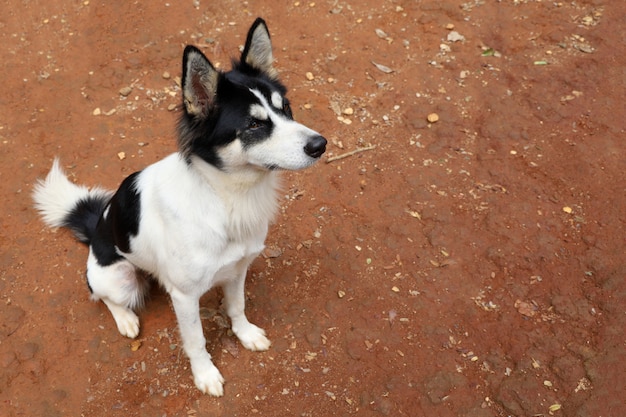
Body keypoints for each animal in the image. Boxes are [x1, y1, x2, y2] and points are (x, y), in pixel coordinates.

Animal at [33, 18, 326, 396]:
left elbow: (237, 306)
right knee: (101, 295)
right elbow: (197, 340)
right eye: (254, 124)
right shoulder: (185, 297)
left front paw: (245, 334)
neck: (225, 196)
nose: (321, 144)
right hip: (118, 278)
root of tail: (96, 227)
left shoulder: (237, 269)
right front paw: (205, 375)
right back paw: (126, 318)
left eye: (286, 108)